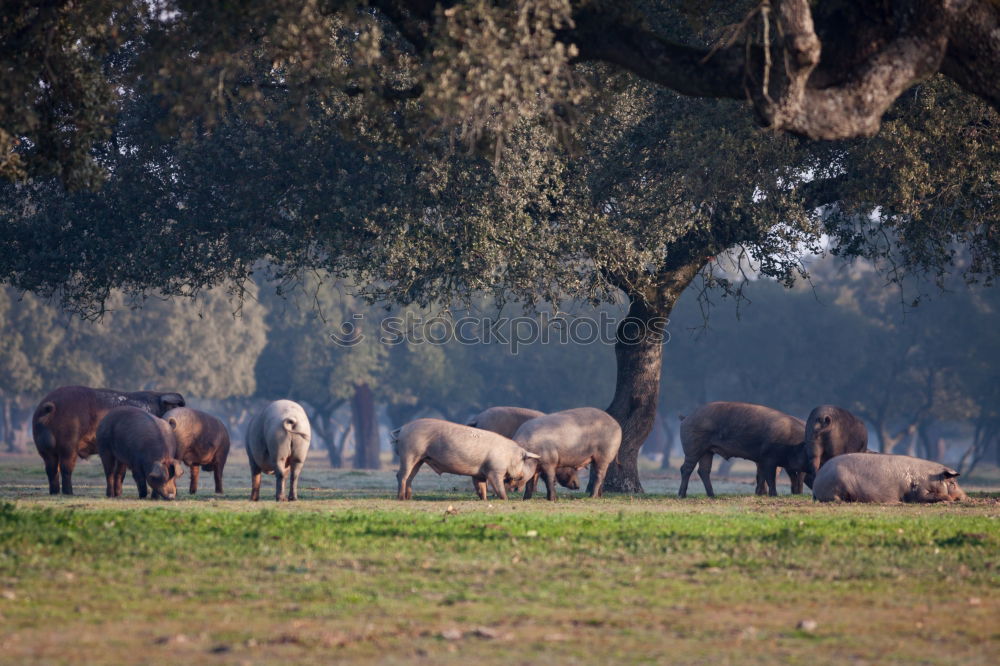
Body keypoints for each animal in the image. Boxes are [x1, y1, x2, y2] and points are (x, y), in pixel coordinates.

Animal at [31, 384, 186, 492]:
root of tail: (49, 405)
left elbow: (119, 473)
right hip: (68, 445)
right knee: (66, 468)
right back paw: (69, 493)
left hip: (43, 448)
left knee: (51, 469)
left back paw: (55, 492)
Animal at [390, 416, 540, 498]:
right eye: (523, 459)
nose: (521, 477)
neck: (509, 456)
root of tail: (403, 428)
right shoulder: (494, 470)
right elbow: (498, 488)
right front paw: (505, 499)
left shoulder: (479, 473)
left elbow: (481, 488)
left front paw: (484, 499)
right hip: (409, 453)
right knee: (401, 475)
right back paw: (401, 498)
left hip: (420, 459)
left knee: (410, 477)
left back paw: (409, 497)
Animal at [680, 396, 812, 496]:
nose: (801, 494)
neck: (791, 443)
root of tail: (686, 417)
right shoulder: (768, 458)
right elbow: (771, 477)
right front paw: (774, 495)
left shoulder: (763, 460)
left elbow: (762, 475)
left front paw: (760, 494)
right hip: (693, 447)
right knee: (686, 468)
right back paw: (682, 495)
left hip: (708, 451)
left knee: (703, 470)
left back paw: (712, 495)